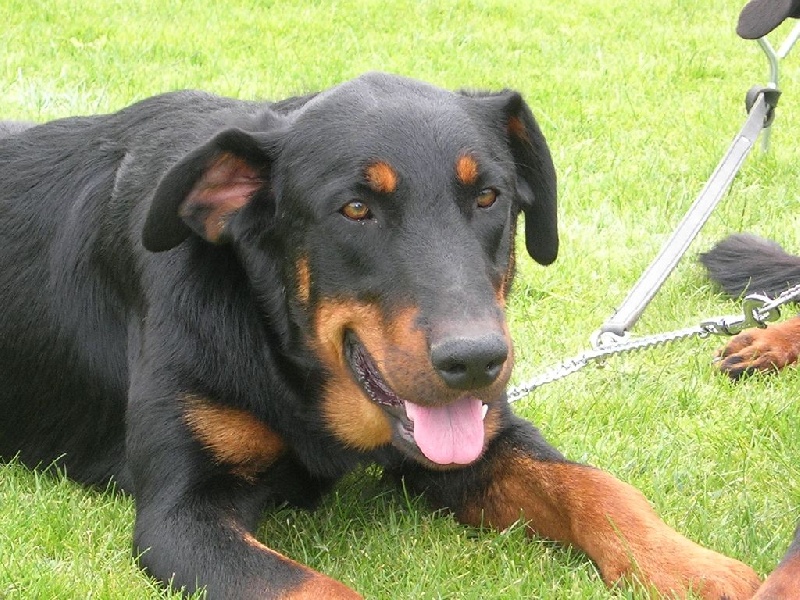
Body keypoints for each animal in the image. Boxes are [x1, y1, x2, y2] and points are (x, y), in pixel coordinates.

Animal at [0, 73, 759, 599]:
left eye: (490, 197)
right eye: (355, 209)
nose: (478, 361)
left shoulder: (484, 440)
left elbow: (596, 487)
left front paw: (697, 568)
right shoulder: (180, 518)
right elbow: (314, 588)